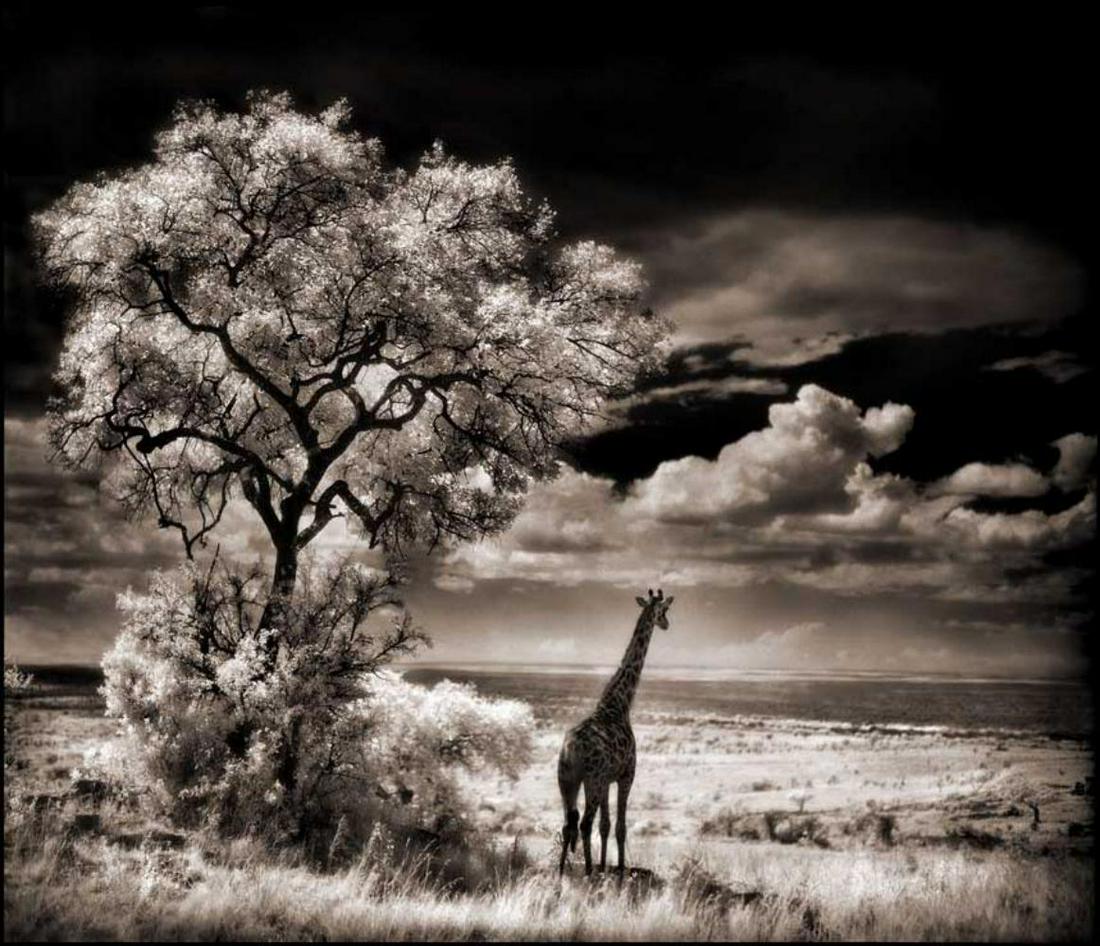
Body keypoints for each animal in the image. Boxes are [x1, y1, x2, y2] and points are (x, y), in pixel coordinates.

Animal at [557, 588, 675, 880]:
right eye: (664, 610)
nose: (666, 624)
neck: (621, 704)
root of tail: (570, 749)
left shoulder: (609, 779)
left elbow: (606, 825)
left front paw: (604, 867)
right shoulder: (626, 774)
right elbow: (619, 826)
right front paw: (619, 870)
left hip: (567, 779)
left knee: (568, 823)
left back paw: (562, 872)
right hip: (592, 779)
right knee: (583, 823)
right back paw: (587, 872)